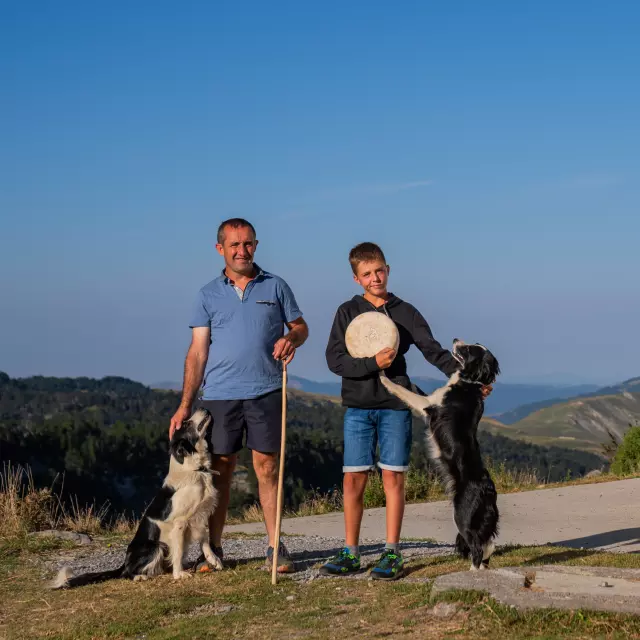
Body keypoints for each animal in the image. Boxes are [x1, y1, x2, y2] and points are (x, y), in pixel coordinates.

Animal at [50, 408, 221, 588]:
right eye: (187, 423)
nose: (205, 409)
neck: (194, 469)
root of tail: (125, 563)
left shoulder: (200, 515)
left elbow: (205, 540)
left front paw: (213, 560)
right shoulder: (180, 522)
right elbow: (179, 550)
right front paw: (179, 574)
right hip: (156, 546)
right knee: (128, 573)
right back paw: (140, 576)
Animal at [380, 340, 500, 568]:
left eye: (469, 349)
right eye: (474, 344)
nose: (455, 339)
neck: (469, 384)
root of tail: (488, 489)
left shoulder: (428, 406)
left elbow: (404, 391)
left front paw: (383, 377)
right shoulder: (429, 400)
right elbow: (411, 386)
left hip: (462, 515)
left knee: (477, 548)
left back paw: (472, 572)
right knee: (487, 546)